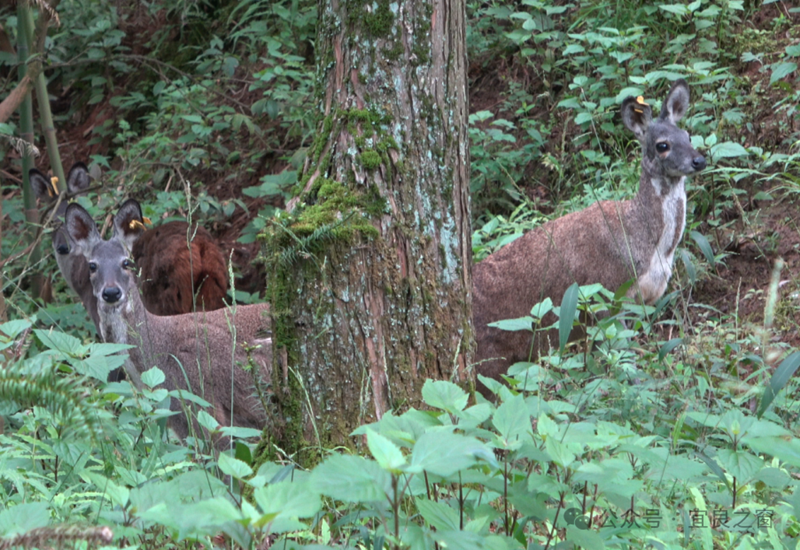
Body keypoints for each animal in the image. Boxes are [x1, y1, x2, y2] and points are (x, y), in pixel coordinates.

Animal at [473, 79, 706, 389]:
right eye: (662, 145)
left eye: (688, 135)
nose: (699, 160)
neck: (646, 244)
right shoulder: (606, 293)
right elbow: (620, 354)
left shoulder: (643, 301)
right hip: (488, 356)